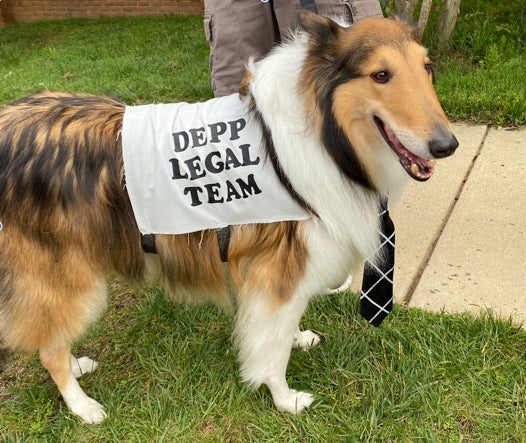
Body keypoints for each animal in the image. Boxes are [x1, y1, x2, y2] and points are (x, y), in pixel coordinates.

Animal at [0, 12, 458, 424]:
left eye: (427, 67)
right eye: (380, 74)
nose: (447, 146)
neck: (324, 135)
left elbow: (281, 328)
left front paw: (297, 339)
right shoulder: (278, 273)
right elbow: (270, 351)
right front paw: (284, 399)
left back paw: (77, 366)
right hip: (70, 281)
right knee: (49, 350)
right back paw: (83, 406)